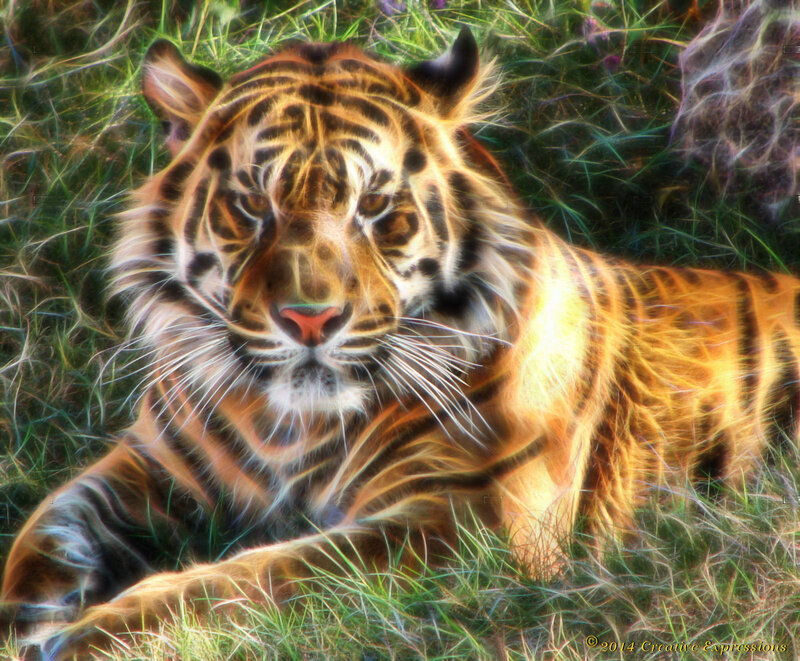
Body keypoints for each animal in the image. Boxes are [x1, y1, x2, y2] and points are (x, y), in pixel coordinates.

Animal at [4, 28, 800, 659]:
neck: (285, 421)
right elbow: (46, 528)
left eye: (375, 206)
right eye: (253, 205)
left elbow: (268, 573)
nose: (310, 320)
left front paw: (89, 635)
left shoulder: (471, 518)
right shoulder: (151, 458)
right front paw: (29, 620)